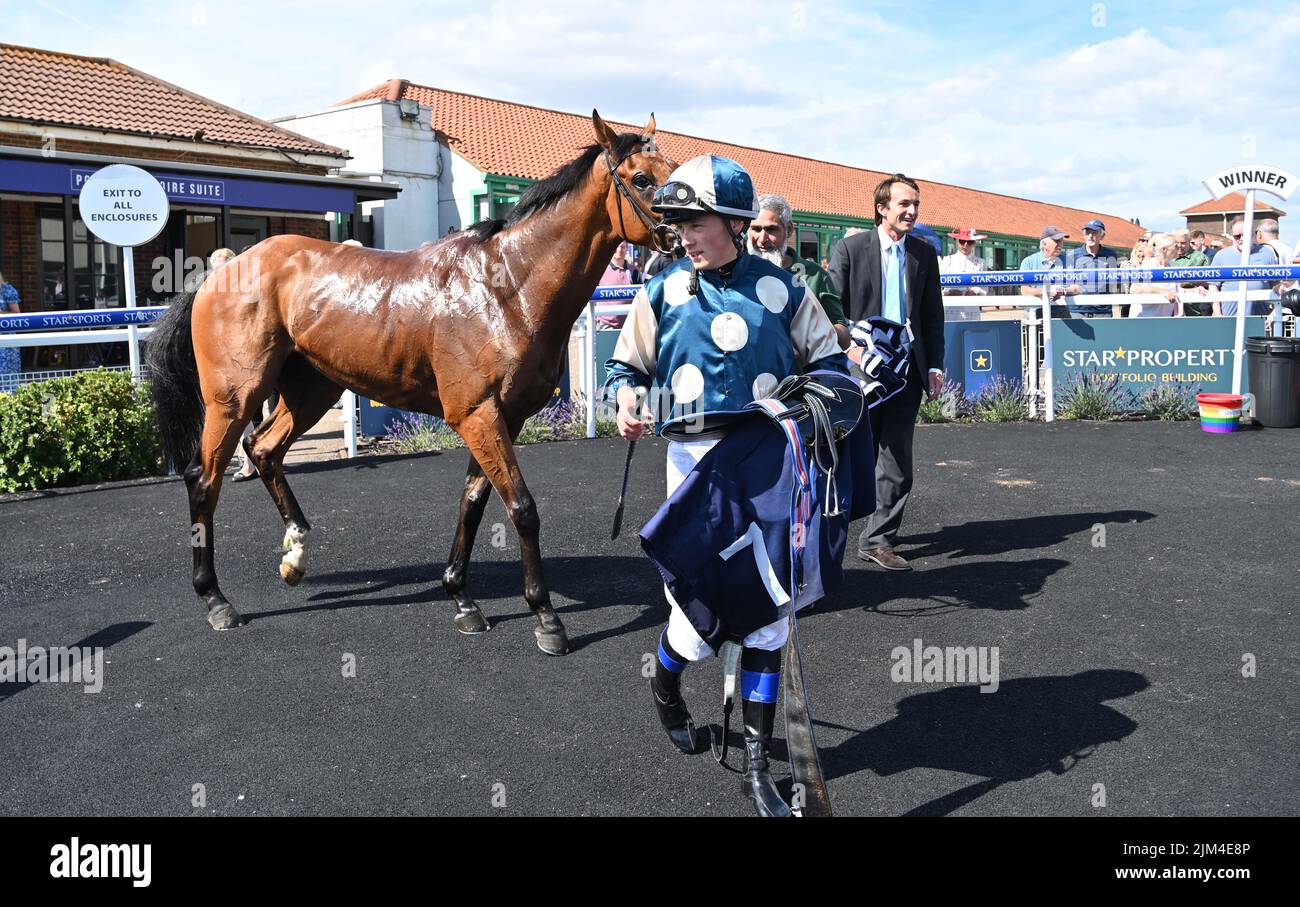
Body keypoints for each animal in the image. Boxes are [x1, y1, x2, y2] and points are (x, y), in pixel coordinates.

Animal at [150, 113, 676, 652]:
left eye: (672, 168)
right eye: (641, 178)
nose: (682, 237)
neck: (508, 287)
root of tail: (219, 273)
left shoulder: (497, 416)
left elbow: (473, 503)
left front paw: (461, 597)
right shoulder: (478, 414)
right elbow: (521, 508)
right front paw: (546, 617)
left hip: (311, 390)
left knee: (263, 450)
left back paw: (295, 553)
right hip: (234, 398)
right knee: (204, 479)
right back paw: (215, 599)